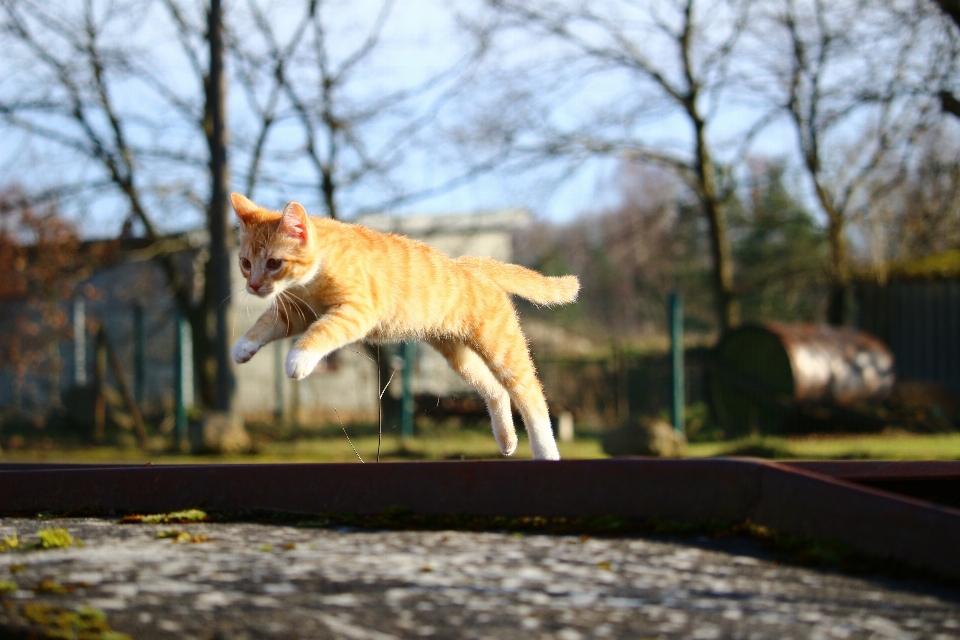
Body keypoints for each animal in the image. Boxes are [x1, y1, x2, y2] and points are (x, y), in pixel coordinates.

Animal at [231, 192, 576, 458]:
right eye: (245, 263)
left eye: (273, 263)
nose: (253, 285)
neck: (311, 281)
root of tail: (468, 264)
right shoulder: (296, 312)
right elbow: (264, 323)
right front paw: (243, 347)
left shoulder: (357, 311)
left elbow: (322, 331)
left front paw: (299, 359)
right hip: (458, 355)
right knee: (495, 390)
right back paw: (506, 441)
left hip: (501, 349)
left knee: (531, 397)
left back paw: (546, 452)